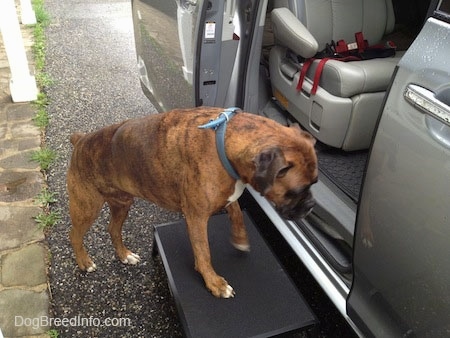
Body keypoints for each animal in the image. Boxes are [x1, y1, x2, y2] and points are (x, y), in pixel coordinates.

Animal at [68, 107, 318, 298]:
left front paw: (240, 239)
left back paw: (124, 255)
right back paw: (84, 262)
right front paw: (214, 282)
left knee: (113, 229)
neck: (223, 141)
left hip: (122, 203)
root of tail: (81, 141)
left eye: (315, 182)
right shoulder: (196, 218)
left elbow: (237, 212)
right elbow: (203, 252)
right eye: (297, 190)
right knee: (75, 235)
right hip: (87, 207)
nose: (311, 207)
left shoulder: (227, 194)